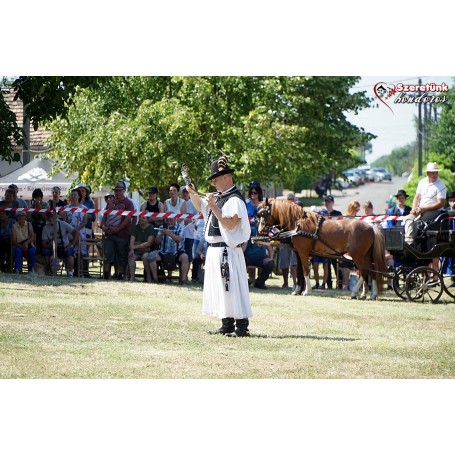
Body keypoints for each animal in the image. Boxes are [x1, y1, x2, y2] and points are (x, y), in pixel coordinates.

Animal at [258, 199, 386, 300]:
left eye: (263, 213)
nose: (260, 230)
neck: (298, 223)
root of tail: (371, 227)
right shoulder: (298, 252)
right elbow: (299, 271)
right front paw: (297, 290)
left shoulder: (303, 252)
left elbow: (305, 270)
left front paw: (306, 291)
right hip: (365, 255)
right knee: (370, 270)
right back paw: (370, 294)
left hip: (357, 255)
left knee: (364, 271)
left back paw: (355, 293)